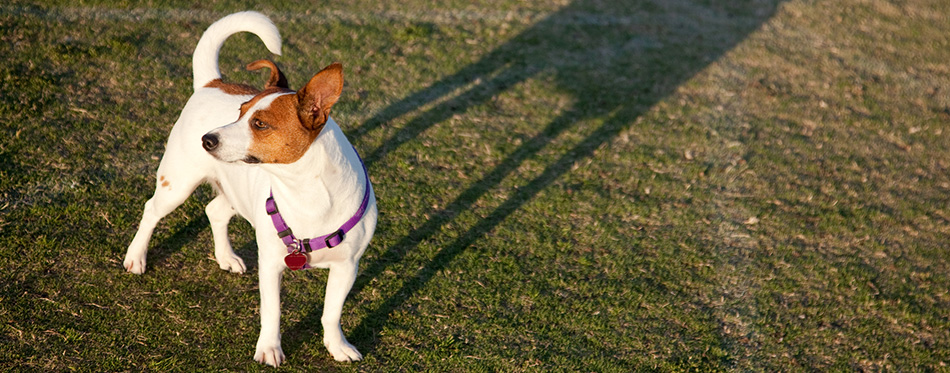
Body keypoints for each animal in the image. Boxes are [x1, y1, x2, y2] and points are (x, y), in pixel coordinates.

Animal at [123, 11, 380, 366]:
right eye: (240, 112)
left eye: (260, 124)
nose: (207, 139)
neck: (307, 193)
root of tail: (211, 83)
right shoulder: (271, 264)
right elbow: (272, 311)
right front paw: (270, 349)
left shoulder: (347, 268)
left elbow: (331, 312)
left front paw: (337, 346)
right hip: (177, 184)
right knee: (151, 211)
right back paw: (136, 257)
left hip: (234, 192)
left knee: (214, 210)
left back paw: (226, 257)